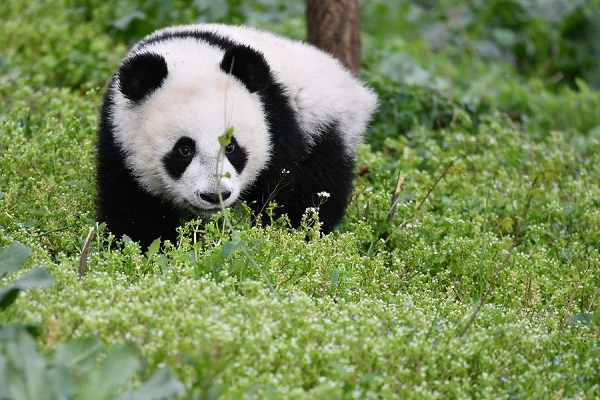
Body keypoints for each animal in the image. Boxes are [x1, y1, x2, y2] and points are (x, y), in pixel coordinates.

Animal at [97, 23, 380, 248]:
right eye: (183, 150)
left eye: (232, 147)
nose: (215, 196)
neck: (186, 56)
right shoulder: (118, 135)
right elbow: (132, 205)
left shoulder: (275, 121)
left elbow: (277, 190)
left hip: (325, 125)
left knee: (320, 187)